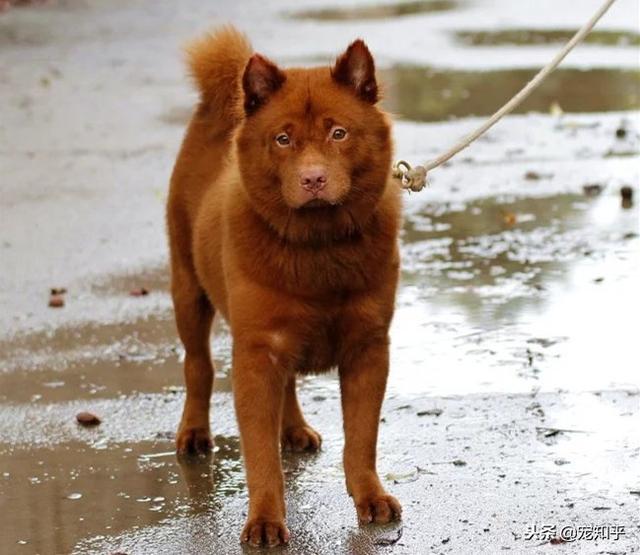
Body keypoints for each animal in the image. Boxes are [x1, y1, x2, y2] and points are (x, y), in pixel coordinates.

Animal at [168, 26, 402, 548]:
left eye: (339, 133)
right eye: (282, 139)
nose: (313, 178)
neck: (318, 246)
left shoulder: (368, 346)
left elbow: (362, 438)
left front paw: (370, 497)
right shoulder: (257, 352)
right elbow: (259, 456)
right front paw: (265, 521)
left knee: (290, 384)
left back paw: (293, 430)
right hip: (187, 289)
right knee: (198, 366)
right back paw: (194, 434)